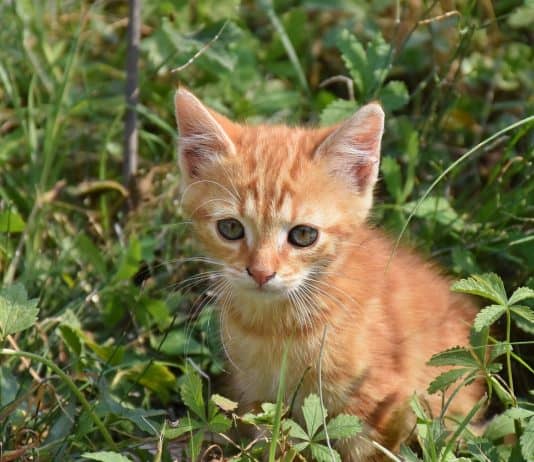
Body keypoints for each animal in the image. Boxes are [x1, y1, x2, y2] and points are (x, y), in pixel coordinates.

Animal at [174, 88, 484, 460]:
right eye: (231, 228)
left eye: (304, 235)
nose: (261, 273)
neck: (278, 328)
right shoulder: (256, 398)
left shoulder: (379, 404)